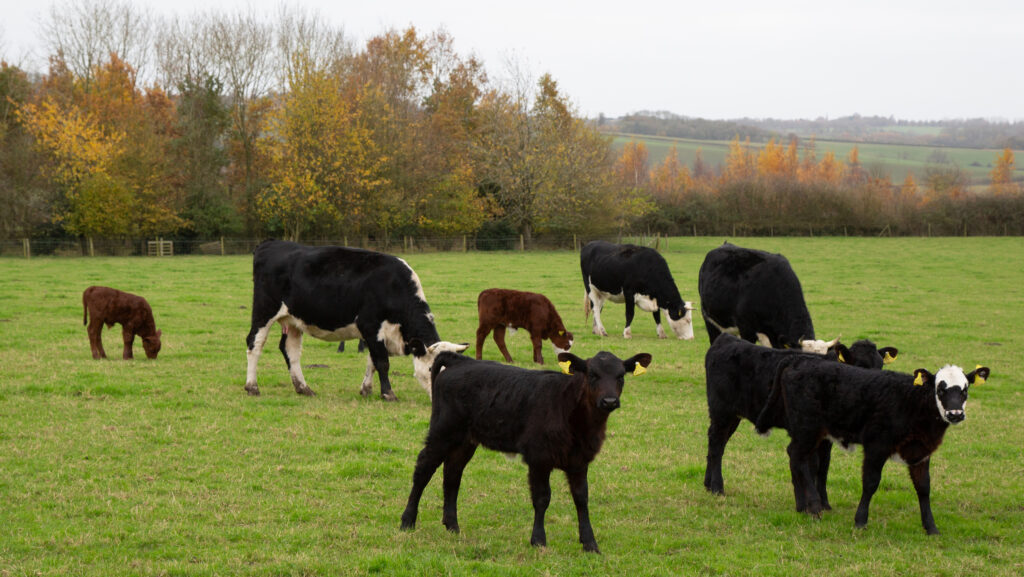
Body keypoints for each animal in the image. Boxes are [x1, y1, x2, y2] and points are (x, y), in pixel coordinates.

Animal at [245, 240, 468, 401]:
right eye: (431, 369)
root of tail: (270, 244)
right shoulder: (370, 325)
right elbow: (382, 362)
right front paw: (388, 393)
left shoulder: (376, 334)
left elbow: (372, 362)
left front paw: (366, 389)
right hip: (264, 311)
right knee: (255, 343)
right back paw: (252, 386)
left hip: (293, 320)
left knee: (290, 350)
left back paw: (303, 387)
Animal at [395, 350, 651, 553]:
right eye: (592, 375)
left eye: (621, 376)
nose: (609, 401)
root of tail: (461, 361)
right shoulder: (539, 457)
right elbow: (542, 498)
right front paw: (538, 540)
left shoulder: (579, 461)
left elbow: (581, 498)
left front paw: (590, 543)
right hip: (442, 431)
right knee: (423, 469)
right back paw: (407, 521)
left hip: (465, 440)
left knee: (452, 475)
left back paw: (453, 526)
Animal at [704, 334, 897, 510]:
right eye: (861, 366)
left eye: (880, 366)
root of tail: (727, 338)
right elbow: (812, 464)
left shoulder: (826, 437)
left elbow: (824, 466)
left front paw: (825, 503)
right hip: (721, 411)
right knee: (717, 445)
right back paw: (717, 487)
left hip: (732, 416)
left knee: (716, 442)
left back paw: (707, 483)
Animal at [753, 358, 991, 537]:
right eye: (940, 389)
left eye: (965, 390)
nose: (955, 414)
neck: (912, 402)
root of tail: (800, 361)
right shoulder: (876, 447)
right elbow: (870, 483)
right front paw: (860, 521)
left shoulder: (921, 453)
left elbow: (924, 488)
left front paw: (931, 527)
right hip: (807, 428)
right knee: (799, 458)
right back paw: (814, 507)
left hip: (810, 433)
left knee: (795, 457)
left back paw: (802, 506)